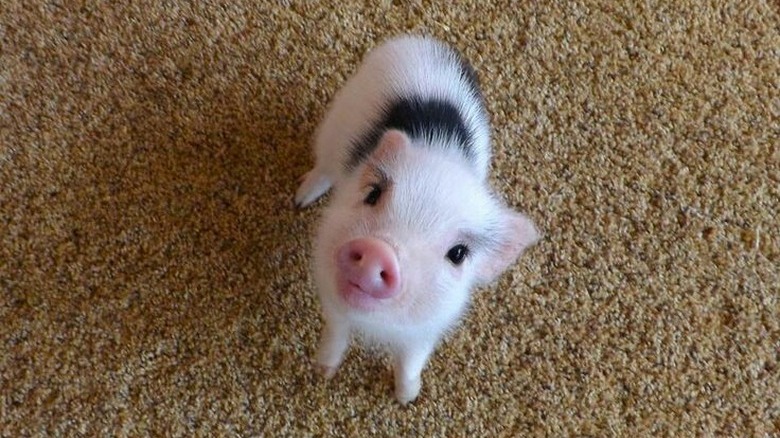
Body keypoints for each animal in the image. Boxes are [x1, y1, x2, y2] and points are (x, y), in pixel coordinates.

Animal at [295, 35, 539, 404]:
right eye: (373, 194)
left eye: (458, 253)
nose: (379, 251)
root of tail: (426, 42)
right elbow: (336, 330)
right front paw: (322, 373)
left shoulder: (430, 325)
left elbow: (412, 358)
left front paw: (407, 398)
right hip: (335, 123)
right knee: (323, 166)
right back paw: (299, 199)